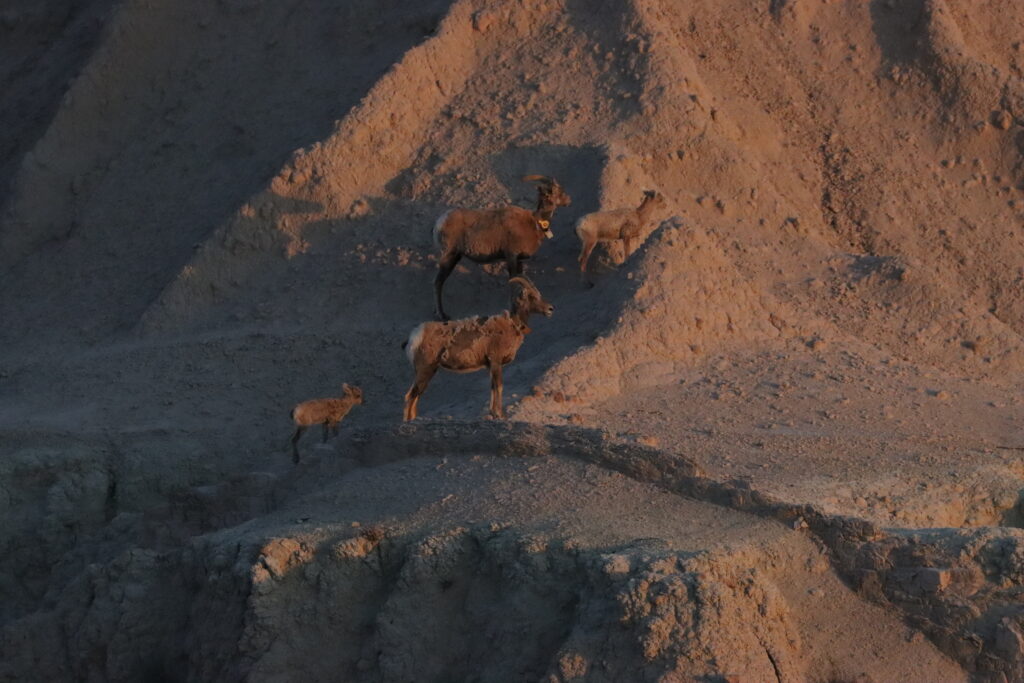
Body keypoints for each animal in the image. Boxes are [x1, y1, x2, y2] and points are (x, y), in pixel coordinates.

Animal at [403, 276, 553, 421]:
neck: (512, 324)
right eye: (532, 296)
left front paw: (493, 413)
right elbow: (499, 387)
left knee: (416, 395)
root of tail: (415, 336)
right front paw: (500, 415)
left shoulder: (491, 366)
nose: (550, 309)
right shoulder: (496, 362)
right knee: (411, 395)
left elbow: (492, 388)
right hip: (425, 370)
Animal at [431, 174, 571, 321]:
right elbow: (514, 282)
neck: (535, 223)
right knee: (438, 283)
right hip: (450, 258)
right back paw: (443, 316)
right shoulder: (511, 257)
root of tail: (439, 223)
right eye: (558, 191)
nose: (569, 200)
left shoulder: (519, 260)